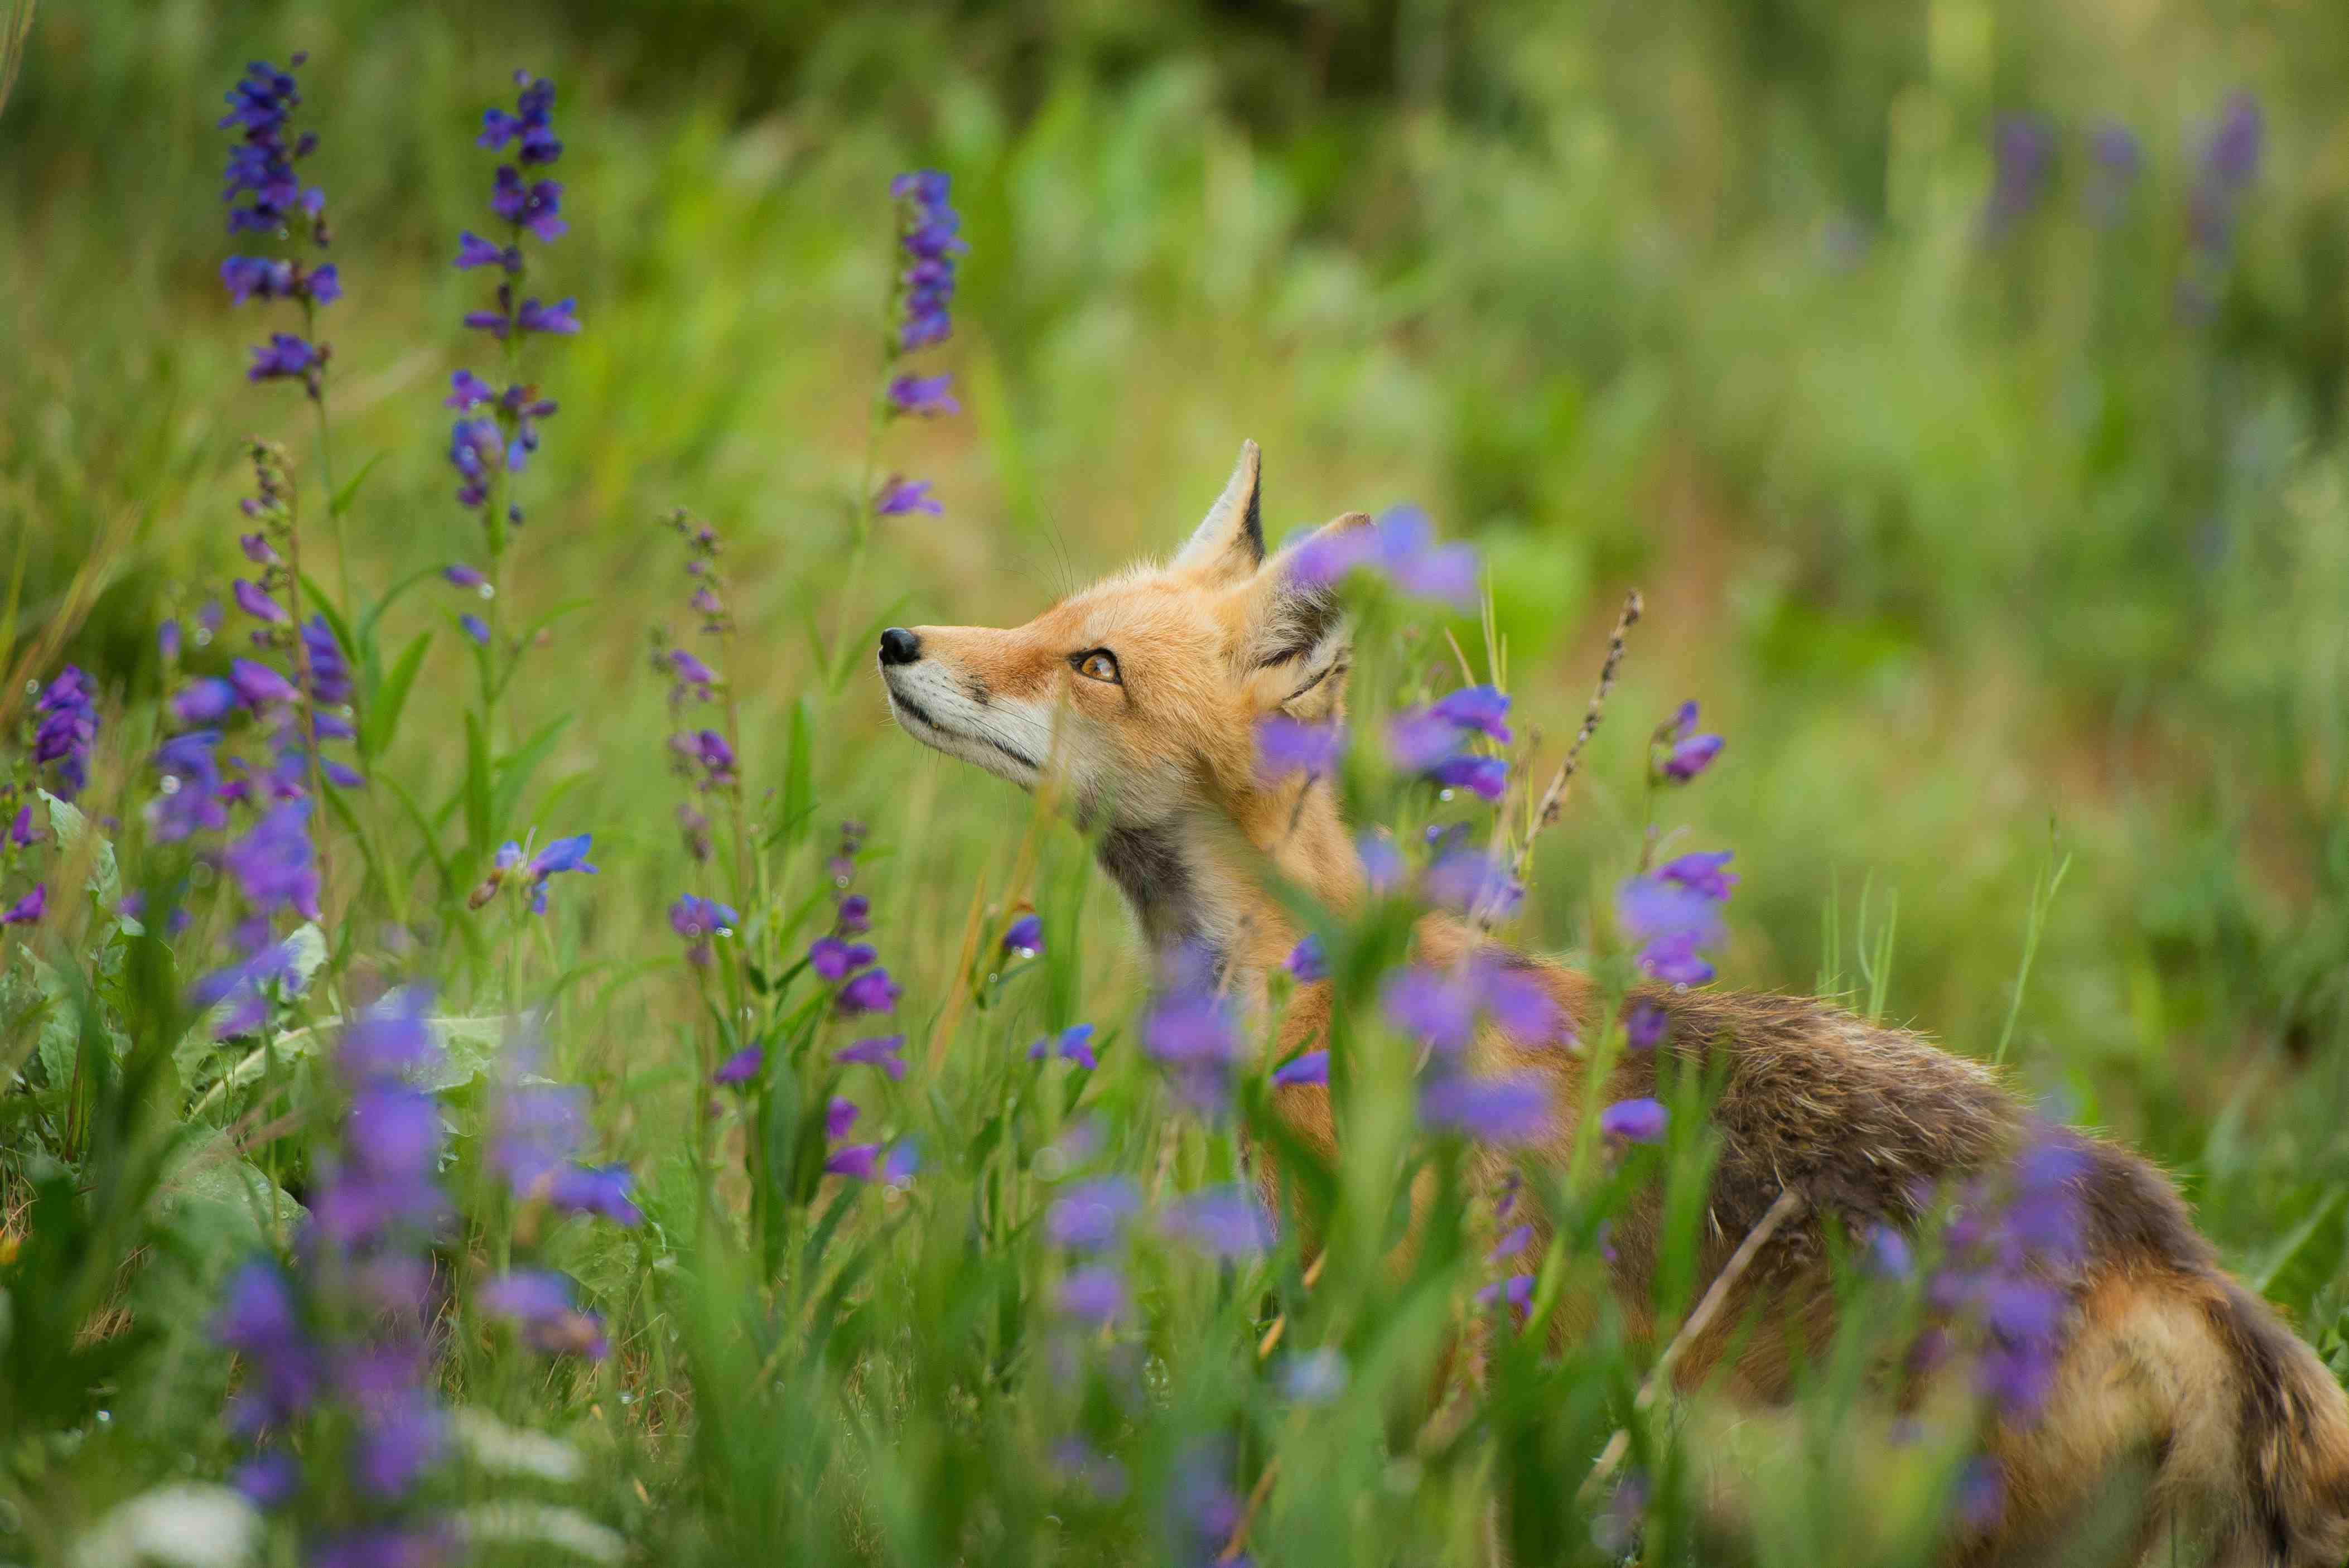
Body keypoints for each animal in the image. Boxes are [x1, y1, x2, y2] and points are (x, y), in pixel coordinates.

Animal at [878, 443, 2349, 1567]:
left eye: (1093, 665)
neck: (1308, 986)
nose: (896, 637)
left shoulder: (1384, 1333)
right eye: (1046, 622)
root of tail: (2180, 1255)